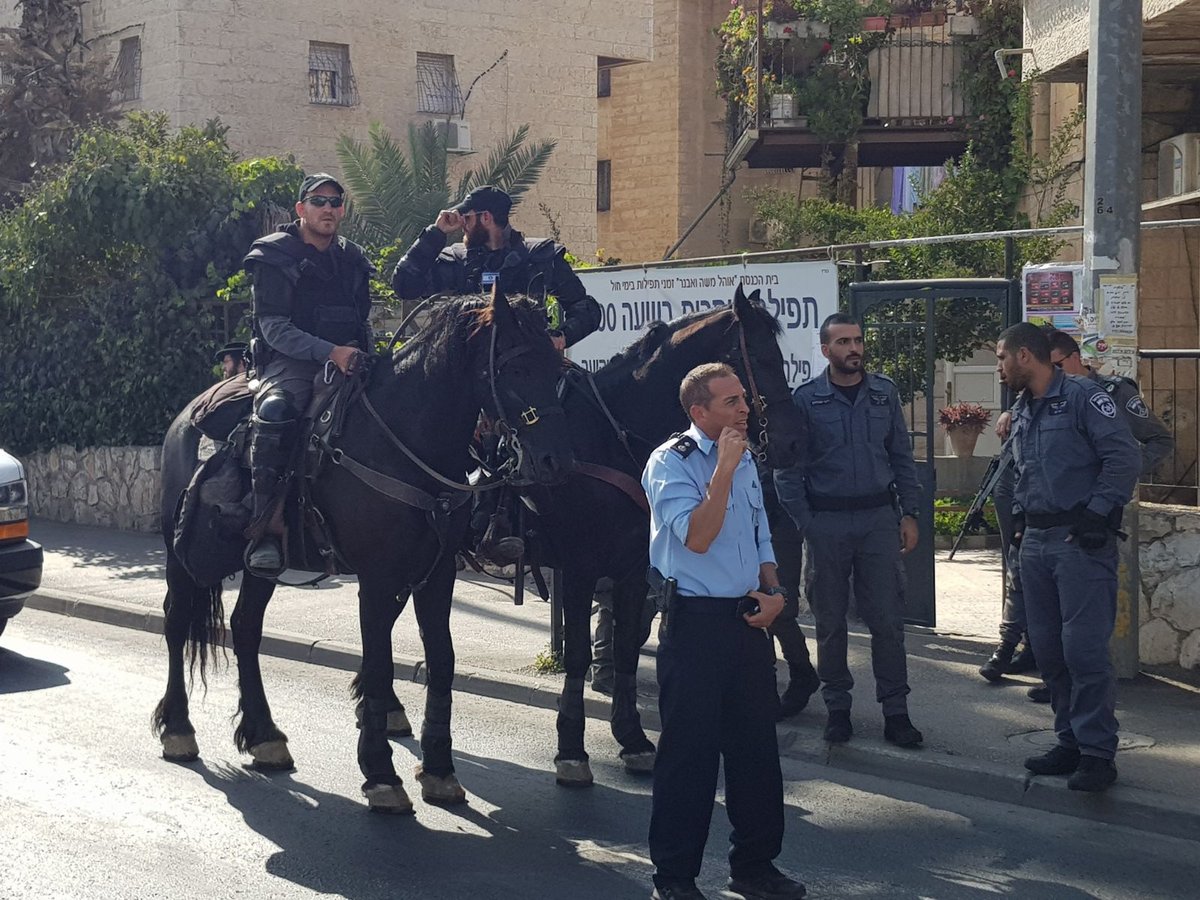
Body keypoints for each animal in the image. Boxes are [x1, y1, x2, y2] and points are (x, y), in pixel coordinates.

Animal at [152, 292, 573, 816]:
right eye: (513, 368)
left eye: (557, 368)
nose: (556, 461)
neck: (403, 441)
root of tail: (186, 415)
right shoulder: (377, 578)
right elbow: (377, 664)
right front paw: (381, 773)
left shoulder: (436, 575)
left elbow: (441, 660)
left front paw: (439, 769)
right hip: (180, 556)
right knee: (176, 622)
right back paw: (178, 729)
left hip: (261, 565)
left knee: (246, 627)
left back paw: (264, 735)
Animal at [530, 285, 801, 787]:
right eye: (757, 355)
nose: (794, 441)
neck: (609, 437)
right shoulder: (578, 566)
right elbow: (576, 654)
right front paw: (571, 749)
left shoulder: (634, 569)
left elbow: (626, 650)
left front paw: (633, 739)